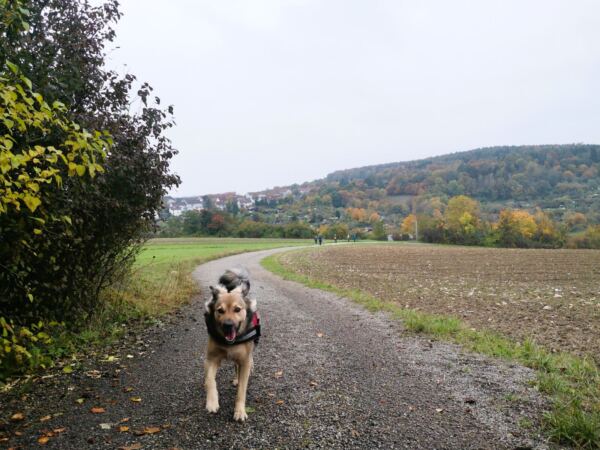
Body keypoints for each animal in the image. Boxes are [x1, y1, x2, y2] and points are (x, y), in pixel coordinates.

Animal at [203, 268, 260, 422]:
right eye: (220, 310)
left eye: (237, 309)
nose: (228, 325)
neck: (230, 343)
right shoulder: (211, 358)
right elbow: (209, 379)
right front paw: (212, 402)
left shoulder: (244, 359)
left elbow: (242, 390)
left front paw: (240, 411)